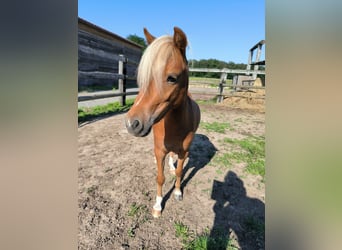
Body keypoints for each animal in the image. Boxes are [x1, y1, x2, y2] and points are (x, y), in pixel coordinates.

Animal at [125, 27, 200, 218]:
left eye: (172, 78)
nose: (132, 124)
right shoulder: (159, 151)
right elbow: (160, 177)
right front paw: (158, 206)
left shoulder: (183, 151)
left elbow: (180, 171)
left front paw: (178, 192)